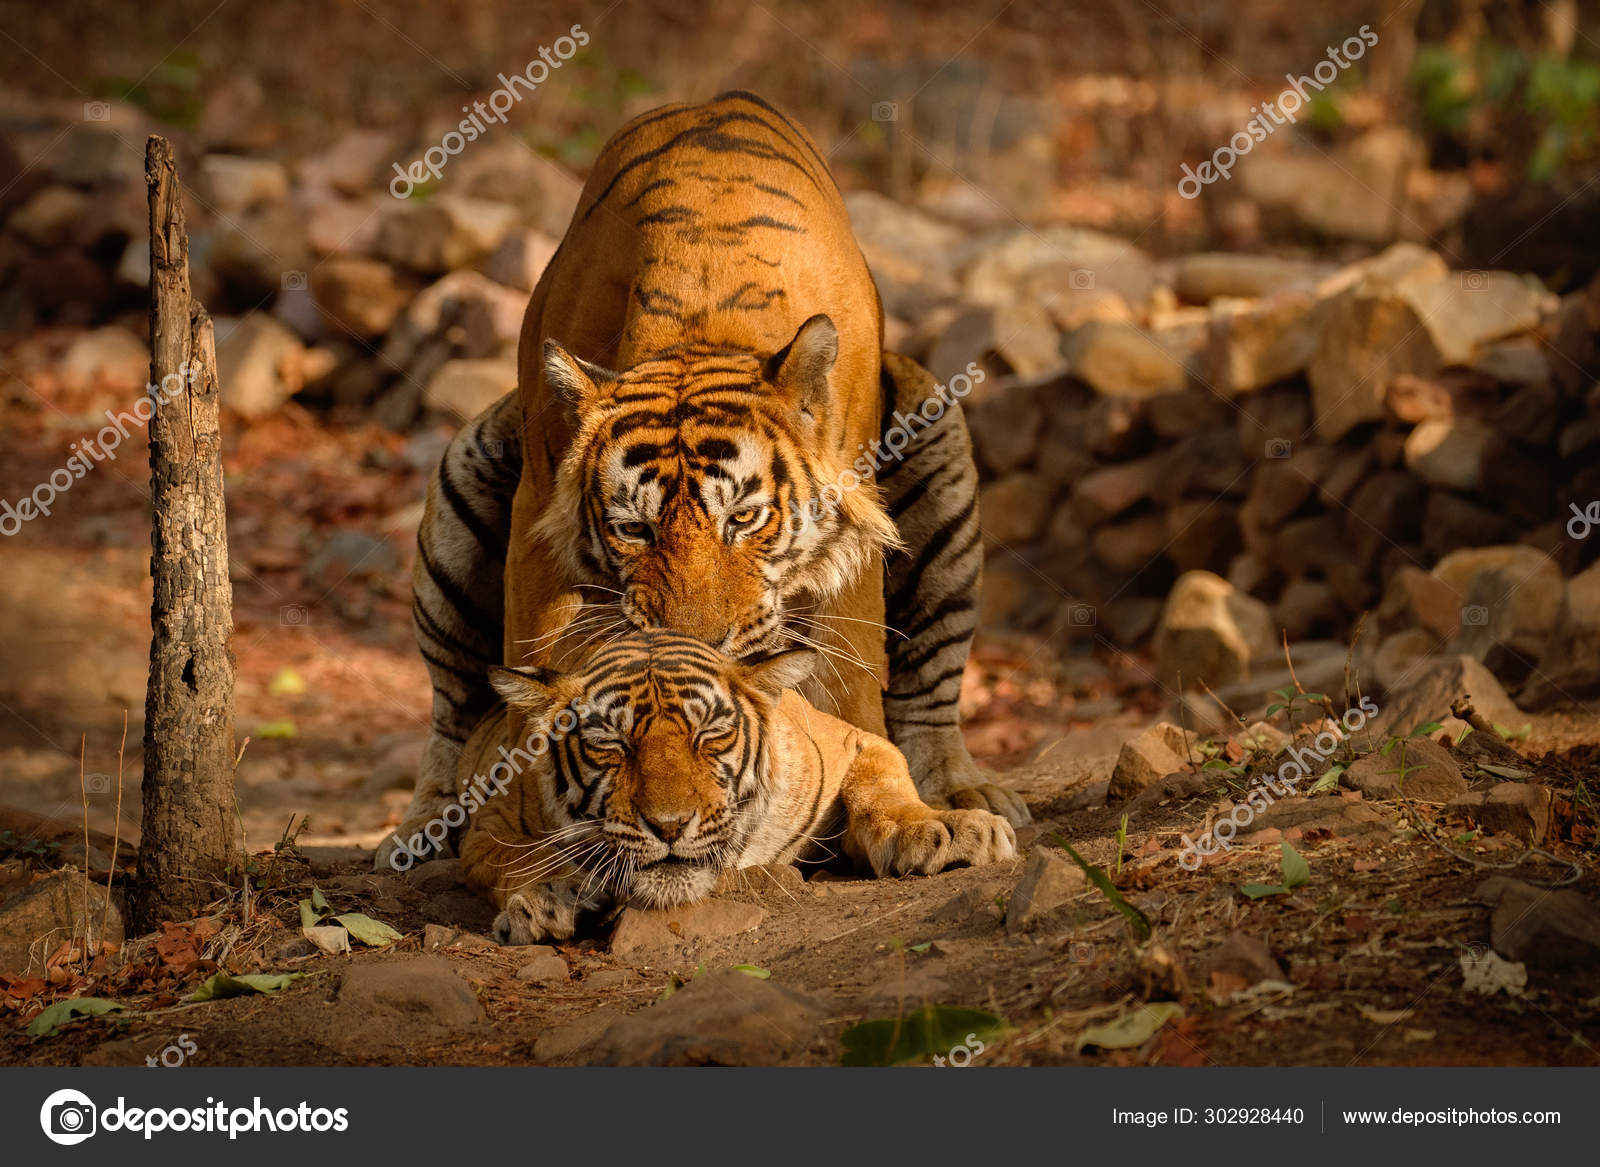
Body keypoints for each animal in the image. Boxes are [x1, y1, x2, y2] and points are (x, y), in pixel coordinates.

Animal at [382, 91, 1024, 870]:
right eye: (633, 529)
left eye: (743, 519)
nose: (702, 652)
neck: (702, 312)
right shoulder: (537, 509)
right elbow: (531, 665)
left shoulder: (855, 538)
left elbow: (855, 691)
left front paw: (909, 820)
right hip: (461, 486)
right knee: (450, 710)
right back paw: (424, 830)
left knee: (930, 694)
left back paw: (964, 793)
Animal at [457, 627, 1017, 947]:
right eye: (611, 744)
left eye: (709, 735)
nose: (669, 826)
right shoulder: (489, 824)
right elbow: (520, 857)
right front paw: (548, 897)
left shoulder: (854, 742)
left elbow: (884, 785)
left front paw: (944, 830)